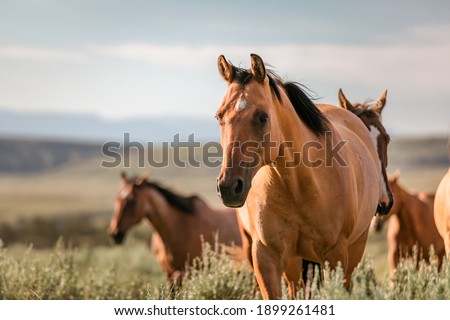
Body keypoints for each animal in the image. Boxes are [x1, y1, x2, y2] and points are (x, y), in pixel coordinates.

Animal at [108, 172, 243, 284]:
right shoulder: (168, 274)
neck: (176, 227)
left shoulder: (183, 273)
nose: (115, 234)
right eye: (116, 199)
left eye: (132, 201)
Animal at [215, 53, 390, 300]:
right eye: (219, 116)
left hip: (352, 252)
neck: (297, 187)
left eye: (262, 117)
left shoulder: (335, 256)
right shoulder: (266, 258)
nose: (229, 187)